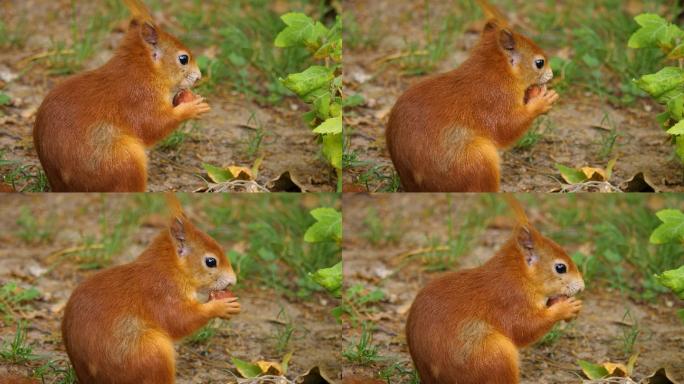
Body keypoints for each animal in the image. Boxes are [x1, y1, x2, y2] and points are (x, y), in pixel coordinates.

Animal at [32, 0, 208, 192]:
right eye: (183, 59)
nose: (199, 77)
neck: (143, 72)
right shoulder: (139, 98)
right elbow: (153, 125)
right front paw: (191, 108)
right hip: (124, 161)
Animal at [62, 195, 238, 384]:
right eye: (211, 261)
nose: (233, 281)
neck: (170, 269)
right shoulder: (161, 293)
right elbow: (179, 319)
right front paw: (220, 307)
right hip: (151, 352)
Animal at [384, 0, 556, 192]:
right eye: (539, 63)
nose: (552, 74)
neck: (493, 72)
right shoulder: (494, 100)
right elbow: (507, 127)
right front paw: (541, 102)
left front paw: (533, 93)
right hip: (477, 160)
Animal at [404, 196, 584, 382]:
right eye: (560, 268)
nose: (581, 287)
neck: (519, 276)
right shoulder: (510, 300)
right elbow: (524, 327)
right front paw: (565, 308)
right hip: (493, 355)